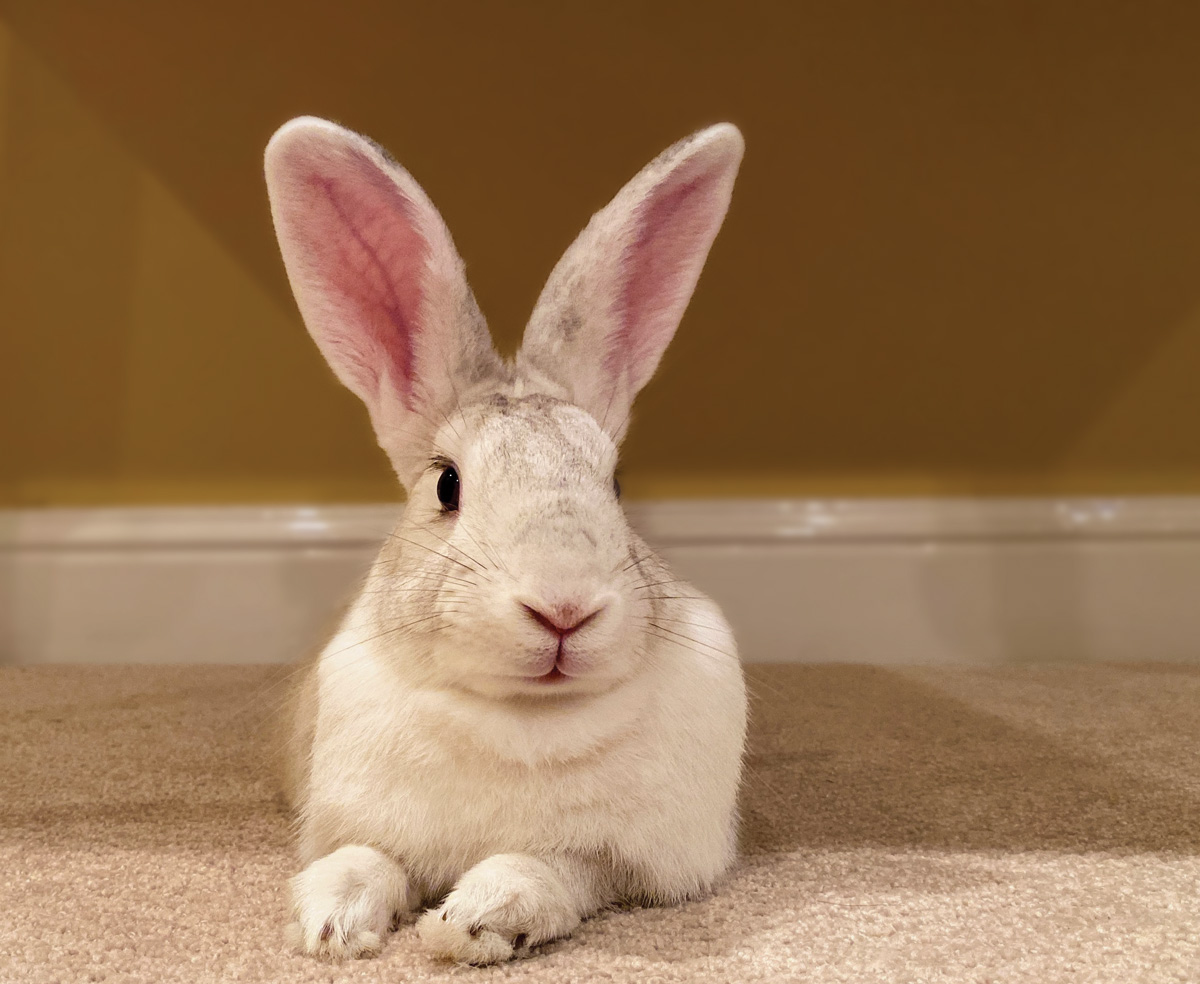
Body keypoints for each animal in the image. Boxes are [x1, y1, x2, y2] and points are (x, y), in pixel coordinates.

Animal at [263, 115, 747, 966]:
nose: (563, 609)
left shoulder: (618, 862)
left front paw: (472, 921)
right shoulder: (358, 820)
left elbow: (548, 868)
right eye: (447, 486)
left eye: (614, 483)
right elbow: (362, 859)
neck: (525, 719)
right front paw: (331, 926)